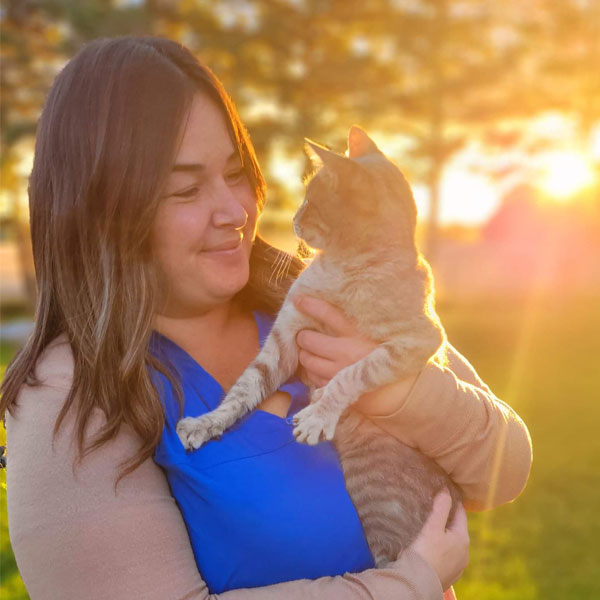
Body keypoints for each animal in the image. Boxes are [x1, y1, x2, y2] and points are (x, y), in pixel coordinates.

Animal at [176, 124, 462, 564]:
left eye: (310, 201)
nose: (293, 218)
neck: (341, 270)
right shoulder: (283, 341)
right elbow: (240, 391)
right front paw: (205, 423)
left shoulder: (422, 339)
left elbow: (354, 371)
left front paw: (318, 413)